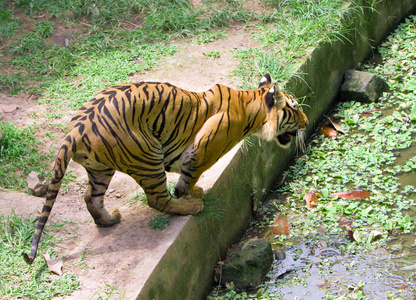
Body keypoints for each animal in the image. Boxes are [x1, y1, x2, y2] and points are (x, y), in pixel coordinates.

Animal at [23, 74, 308, 264]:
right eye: (294, 109)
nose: (306, 122)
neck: (252, 108)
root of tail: (76, 128)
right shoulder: (202, 149)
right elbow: (189, 175)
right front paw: (190, 194)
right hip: (148, 156)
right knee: (157, 200)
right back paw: (191, 207)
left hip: (101, 168)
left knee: (90, 197)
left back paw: (109, 219)